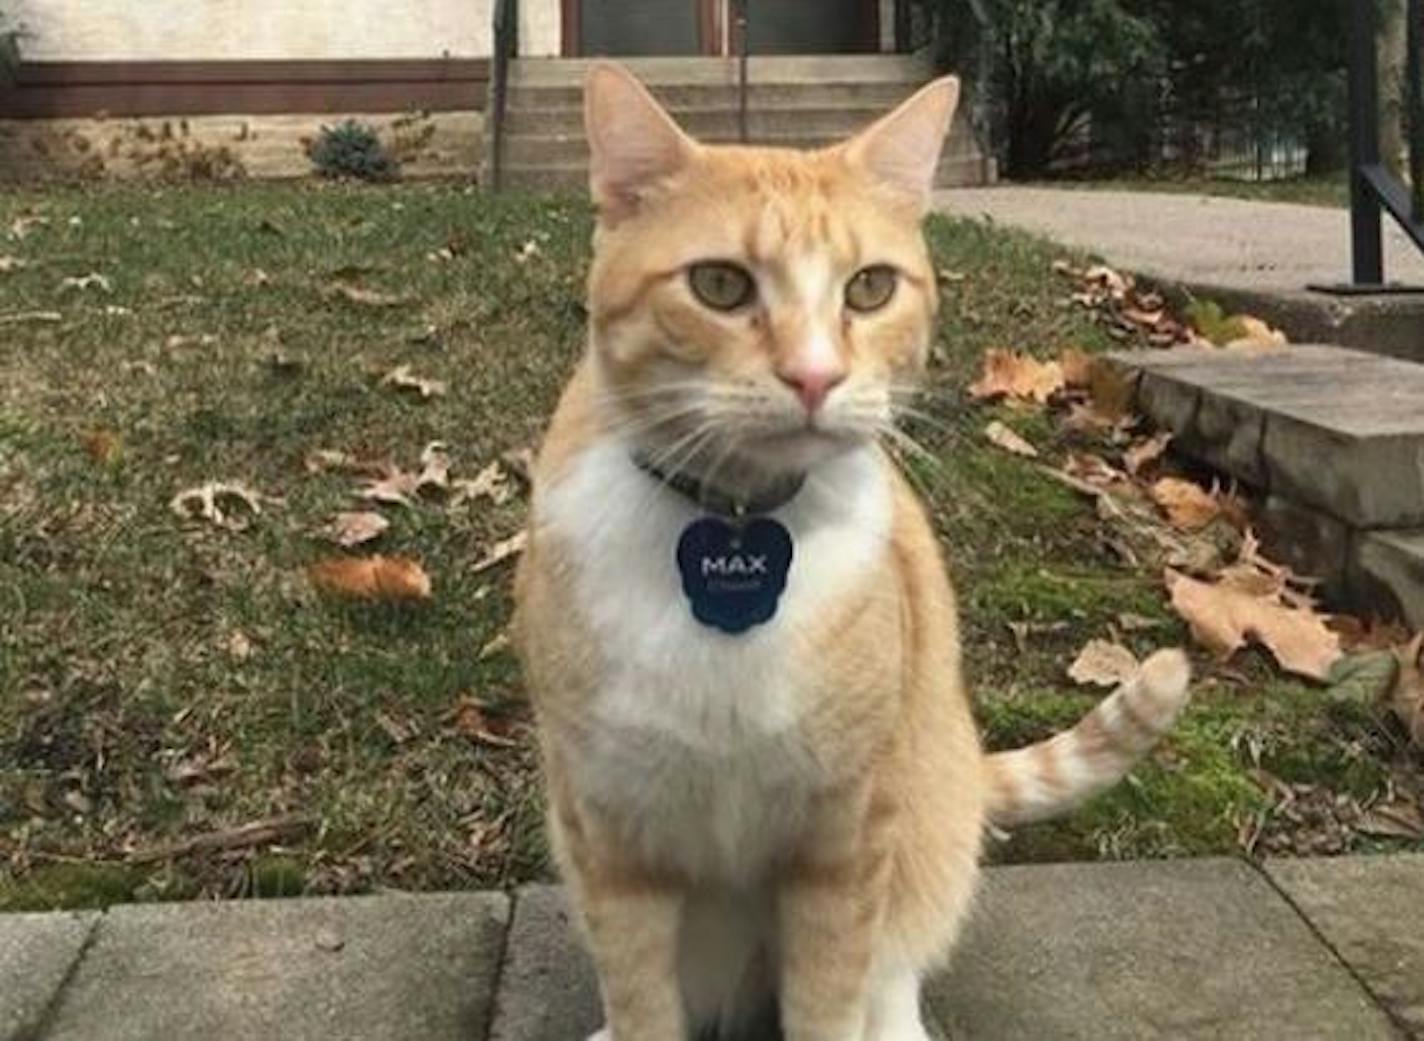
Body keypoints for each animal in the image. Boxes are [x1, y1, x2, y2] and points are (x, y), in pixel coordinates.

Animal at [512, 63, 1190, 1041]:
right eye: (719, 285)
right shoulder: (606, 830)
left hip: (924, 806)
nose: (815, 376)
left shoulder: (847, 829)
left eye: (869, 289)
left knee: (898, 957)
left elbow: (835, 988)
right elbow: (640, 995)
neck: (737, 525)